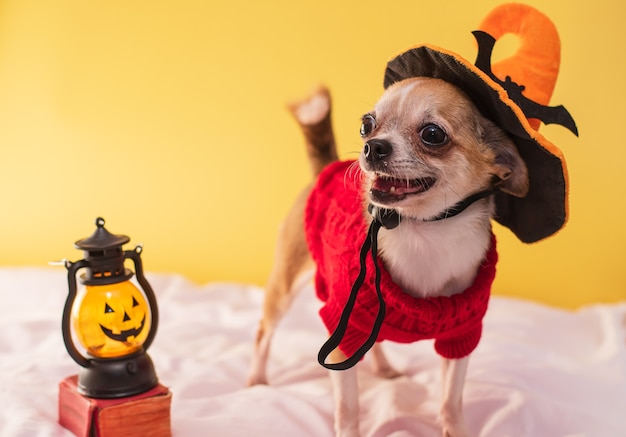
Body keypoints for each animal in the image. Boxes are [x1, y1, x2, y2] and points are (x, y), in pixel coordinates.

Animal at [247, 76, 528, 436]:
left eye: (433, 134)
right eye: (367, 125)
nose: (372, 146)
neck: (424, 231)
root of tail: (325, 169)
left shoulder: (460, 335)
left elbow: (451, 399)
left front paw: (456, 429)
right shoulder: (342, 329)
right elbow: (348, 406)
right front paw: (348, 431)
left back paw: (384, 369)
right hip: (285, 287)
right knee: (263, 333)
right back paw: (256, 380)